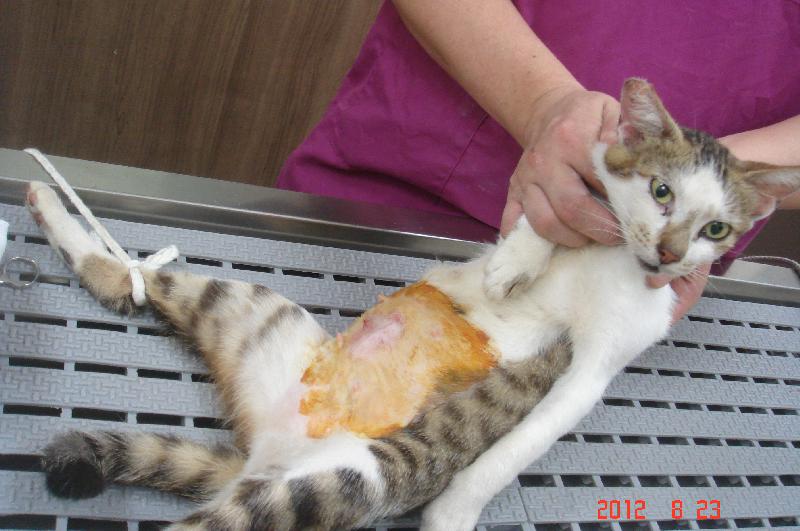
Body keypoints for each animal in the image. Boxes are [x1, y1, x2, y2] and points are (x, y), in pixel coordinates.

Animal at [27, 78, 800, 531]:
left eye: (717, 231)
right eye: (662, 192)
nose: (669, 254)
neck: (609, 261)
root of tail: (261, 454)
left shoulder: (596, 366)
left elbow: (509, 453)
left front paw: (452, 515)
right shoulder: (551, 207)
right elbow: (535, 224)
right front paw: (518, 263)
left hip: (329, 473)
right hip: (252, 306)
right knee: (118, 276)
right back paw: (45, 197)